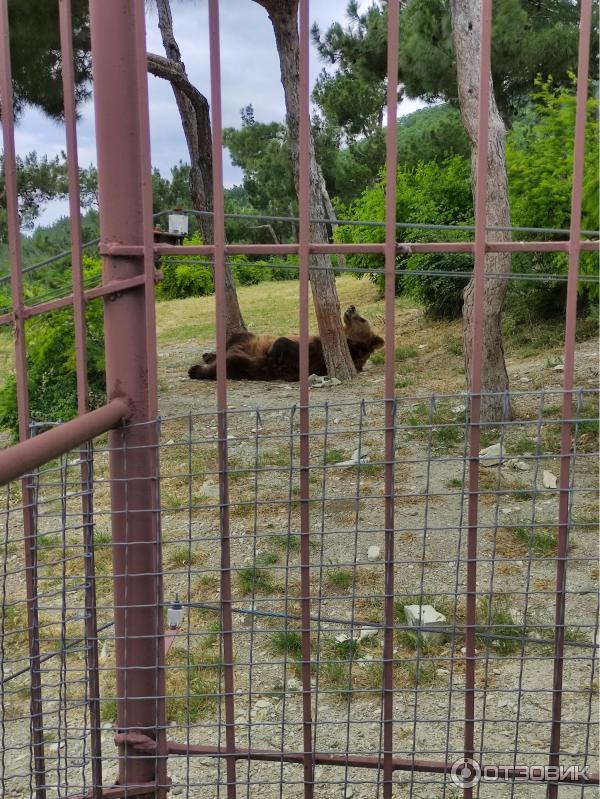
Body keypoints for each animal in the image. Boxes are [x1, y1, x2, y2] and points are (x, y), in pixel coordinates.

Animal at [189, 304, 384, 382]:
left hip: (247, 364)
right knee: (237, 337)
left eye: (362, 319)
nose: (351, 308)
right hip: (246, 339)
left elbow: (289, 350)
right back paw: (208, 355)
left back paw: (196, 369)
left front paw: (273, 350)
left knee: (228, 364)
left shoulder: (314, 358)